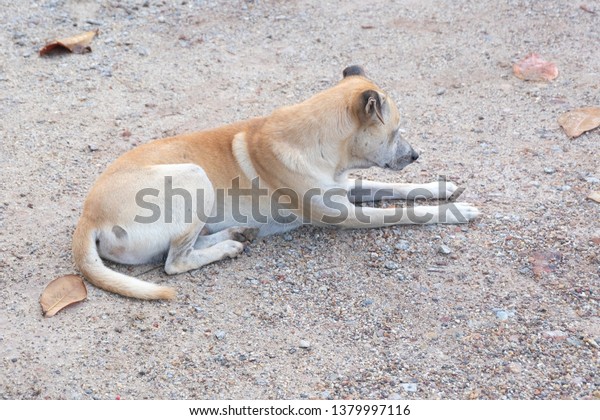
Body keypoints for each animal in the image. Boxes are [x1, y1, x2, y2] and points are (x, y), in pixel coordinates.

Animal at [72, 65, 480, 298]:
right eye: (395, 132)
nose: (416, 156)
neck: (319, 142)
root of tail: (87, 219)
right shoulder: (343, 214)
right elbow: (403, 212)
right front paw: (456, 211)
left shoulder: (345, 187)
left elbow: (396, 190)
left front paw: (442, 189)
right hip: (192, 177)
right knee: (174, 262)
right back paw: (227, 247)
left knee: (188, 245)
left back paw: (237, 234)